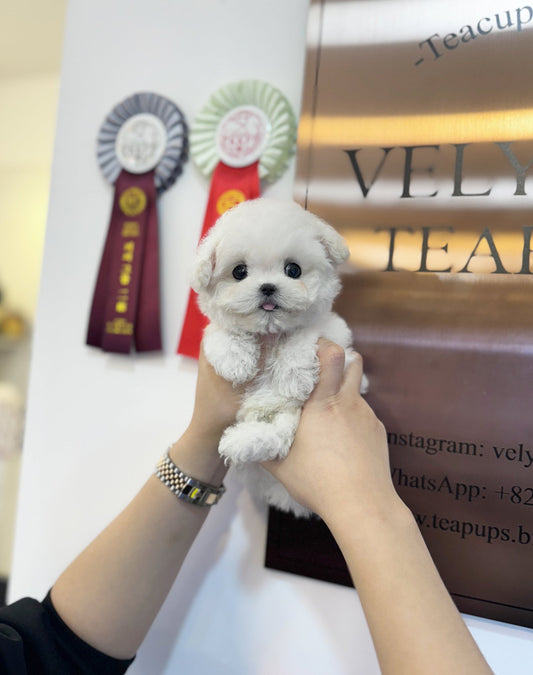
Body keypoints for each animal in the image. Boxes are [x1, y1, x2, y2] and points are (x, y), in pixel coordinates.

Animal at [193, 198, 356, 516]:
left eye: (293, 270)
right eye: (239, 272)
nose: (268, 287)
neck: (270, 333)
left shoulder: (333, 332)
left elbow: (303, 334)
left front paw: (293, 376)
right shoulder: (217, 329)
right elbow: (221, 331)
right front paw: (236, 360)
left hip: (292, 417)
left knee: (278, 438)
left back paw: (240, 442)